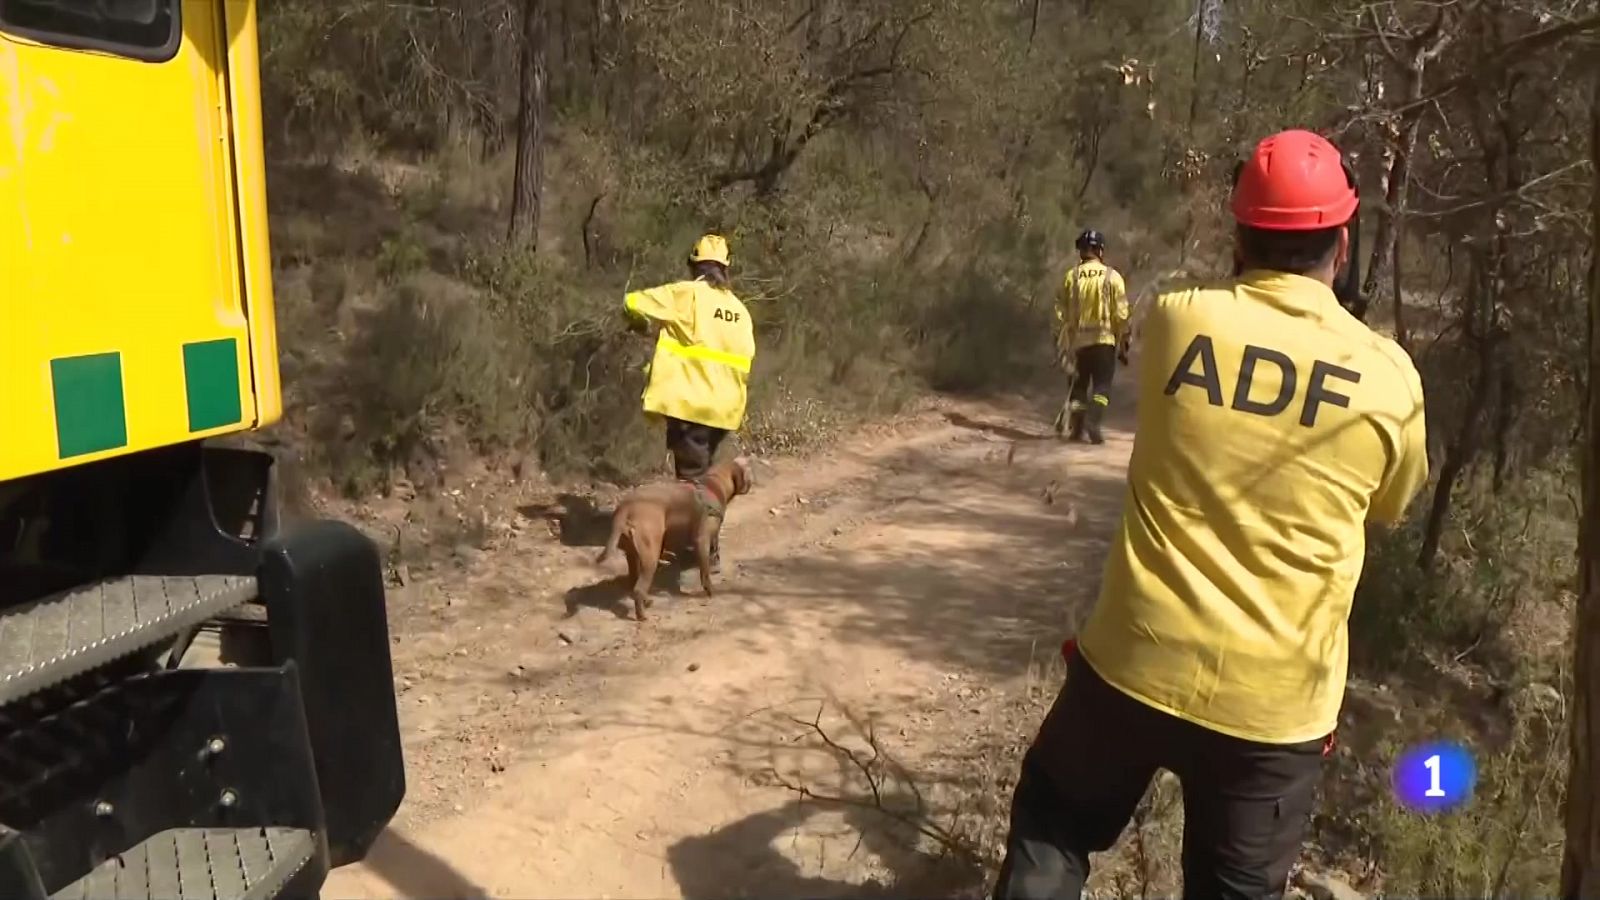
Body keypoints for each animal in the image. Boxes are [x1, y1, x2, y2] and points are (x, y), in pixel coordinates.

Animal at [598, 454, 752, 614]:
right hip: (650, 556)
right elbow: (705, 572)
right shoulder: (702, 539)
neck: (714, 484)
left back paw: (646, 601)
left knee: (634, 583)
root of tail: (625, 508)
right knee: (639, 589)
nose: (751, 483)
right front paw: (709, 590)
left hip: (633, 555)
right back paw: (642, 615)